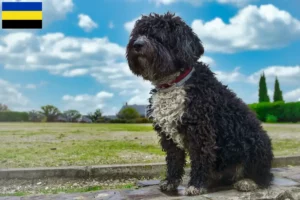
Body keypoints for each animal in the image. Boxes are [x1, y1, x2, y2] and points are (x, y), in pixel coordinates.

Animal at [125, 12, 274, 195]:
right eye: (138, 34)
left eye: (158, 35)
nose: (137, 44)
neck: (173, 83)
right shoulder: (168, 135)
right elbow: (174, 160)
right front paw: (170, 182)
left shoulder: (201, 131)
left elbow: (200, 159)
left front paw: (196, 184)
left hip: (257, 143)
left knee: (265, 177)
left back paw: (248, 182)